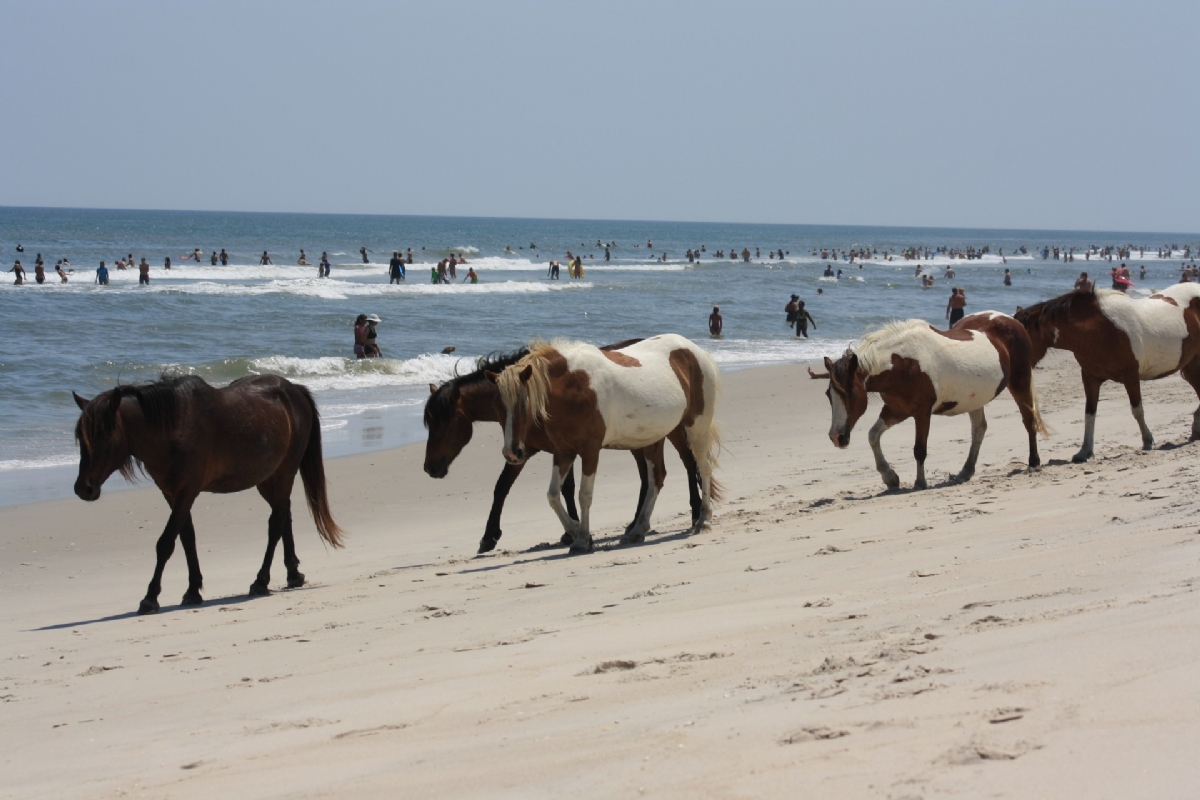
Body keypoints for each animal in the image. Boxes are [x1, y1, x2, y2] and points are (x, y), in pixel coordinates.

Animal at [72, 374, 342, 614]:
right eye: (81, 438)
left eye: (103, 436)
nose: (83, 489)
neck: (173, 428)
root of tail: (294, 389)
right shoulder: (171, 494)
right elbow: (187, 539)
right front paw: (193, 591)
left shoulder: (187, 491)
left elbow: (166, 543)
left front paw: (150, 597)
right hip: (267, 480)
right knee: (284, 515)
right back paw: (293, 574)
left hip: (285, 473)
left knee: (275, 523)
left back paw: (261, 581)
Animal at [423, 341, 705, 553]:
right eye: (497, 407)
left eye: (445, 424)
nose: (430, 468)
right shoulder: (537, 450)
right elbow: (509, 487)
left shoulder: (537, 450)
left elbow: (561, 489)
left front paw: (574, 533)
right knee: (652, 477)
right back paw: (636, 524)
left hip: (675, 430)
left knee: (688, 463)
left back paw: (695, 512)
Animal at [814, 312, 1046, 490]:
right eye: (829, 395)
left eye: (851, 393)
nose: (837, 437)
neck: (904, 363)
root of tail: (1010, 319)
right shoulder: (896, 410)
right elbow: (873, 436)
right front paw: (890, 478)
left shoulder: (922, 413)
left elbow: (919, 449)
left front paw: (920, 482)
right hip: (975, 400)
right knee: (979, 430)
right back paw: (965, 471)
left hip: (1020, 383)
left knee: (1029, 421)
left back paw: (1033, 462)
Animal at [1014, 284, 1200, 462]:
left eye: (1023, 336)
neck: (1100, 329)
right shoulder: (1090, 378)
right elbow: (1089, 414)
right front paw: (1084, 452)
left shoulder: (1131, 376)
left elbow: (1137, 410)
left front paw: (1147, 441)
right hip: (1190, 367)